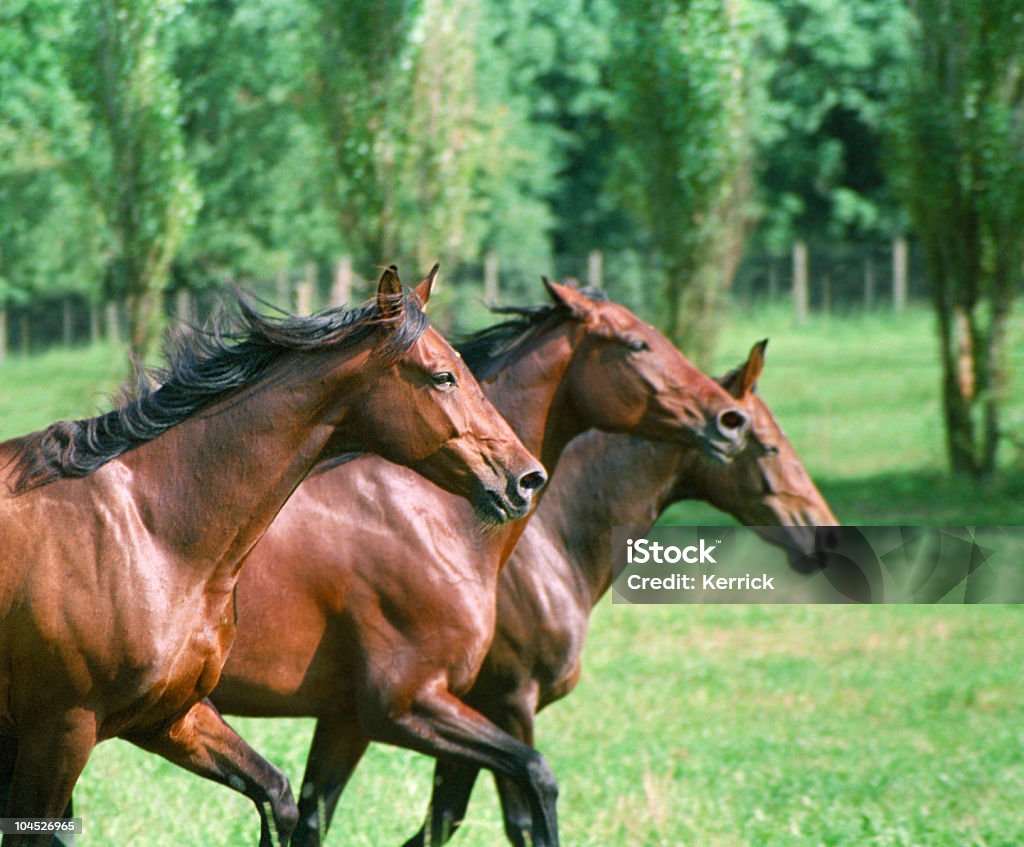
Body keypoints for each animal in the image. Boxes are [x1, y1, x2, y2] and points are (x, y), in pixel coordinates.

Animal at [0, 268, 548, 843]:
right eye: (443, 377)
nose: (526, 479)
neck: (149, 531)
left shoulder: (169, 717)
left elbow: (280, 797)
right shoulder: (60, 731)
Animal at [209, 280, 753, 847]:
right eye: (637, 344)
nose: (730, 419)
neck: (430, 518)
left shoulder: (348, 720)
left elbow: (326, 817)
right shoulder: (412, 704)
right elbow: (534, 784)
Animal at [401, 340, 839, 847]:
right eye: (767, 446)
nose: (827, 536)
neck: (547, 545)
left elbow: (440, 820)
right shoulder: (507, 704)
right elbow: (519, 823)